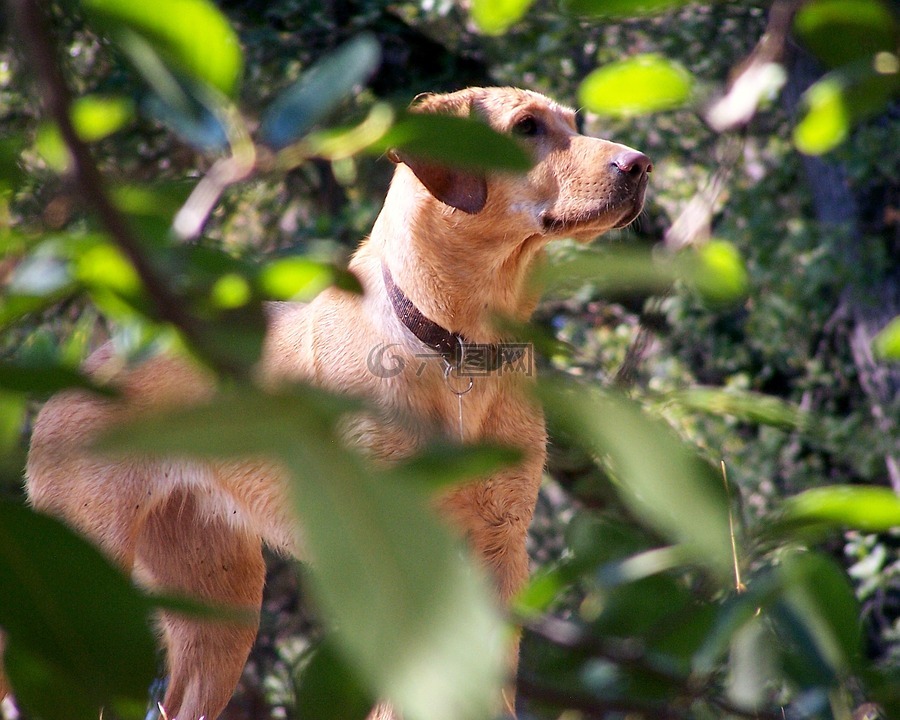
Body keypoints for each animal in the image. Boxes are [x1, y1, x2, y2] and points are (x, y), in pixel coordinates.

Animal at [0, 87, 652, 716]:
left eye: (573, 122)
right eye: (526, 128)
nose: (641, 165)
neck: (456, 345)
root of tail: (78, 372)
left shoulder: (500, 550)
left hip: (221, 603)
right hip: (75, 581)